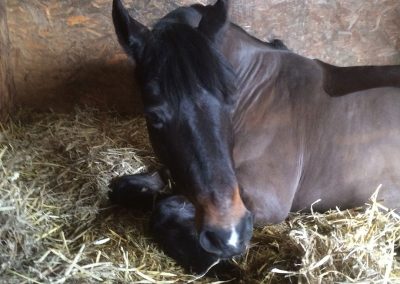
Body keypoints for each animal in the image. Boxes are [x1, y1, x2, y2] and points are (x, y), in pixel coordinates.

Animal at [109, 0, 400, 272]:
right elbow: (133, 186)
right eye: (154, 116)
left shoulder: (265, 202)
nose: (228, 235)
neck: (260, 92)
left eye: (230, 101)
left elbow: (164, 207)